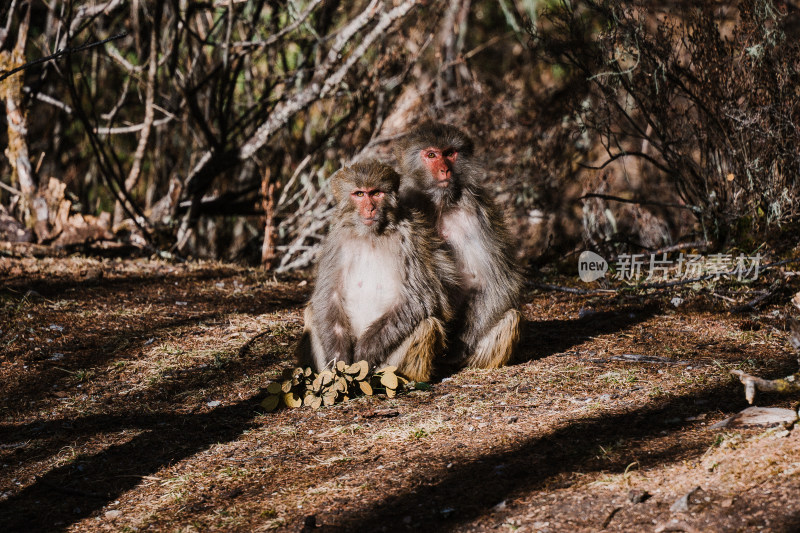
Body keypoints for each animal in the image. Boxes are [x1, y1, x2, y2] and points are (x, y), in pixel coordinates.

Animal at [296, 160, 456, 380]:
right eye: (359, 194)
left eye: (376, 193)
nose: (370, 209)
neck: (370, 235)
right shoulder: (336, 241)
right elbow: (328, 296)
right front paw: (340, 360)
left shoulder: (410, 238)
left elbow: (417, 297)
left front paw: (364, 353)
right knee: (313, 312)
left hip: (386, 366)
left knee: (427, 324)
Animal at [396, 122, 524, 368]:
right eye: (432, 155)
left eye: (449, 153)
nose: (445, 170)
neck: (438, 203)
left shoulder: (475, 211)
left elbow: (498, 282)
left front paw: (457, 347)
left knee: (510, 316)